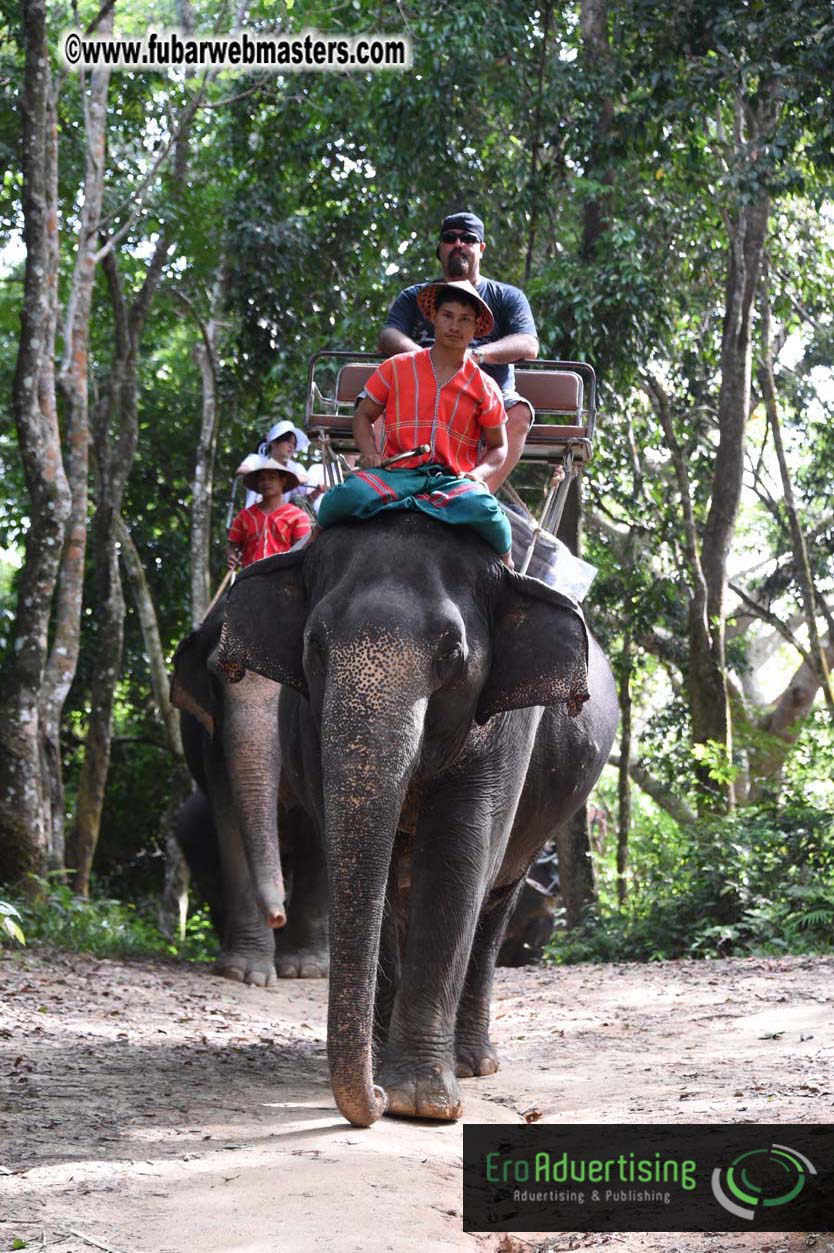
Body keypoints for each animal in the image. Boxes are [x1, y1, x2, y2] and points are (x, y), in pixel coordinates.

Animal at [170, 600, 329, 985]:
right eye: (217, 674)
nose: (277, 915)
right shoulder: (215, 735)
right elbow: (230, 820)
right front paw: (243, 972)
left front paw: (305, 970)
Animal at [188, 509, 617, 1126]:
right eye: (314, 644)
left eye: (452, 654)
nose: (374, 1099)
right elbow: (369, 864)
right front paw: (390, 1083)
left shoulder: (509, 727)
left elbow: (459, 856)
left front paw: (419, 1103)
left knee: (496, 901)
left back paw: (473, 1064)